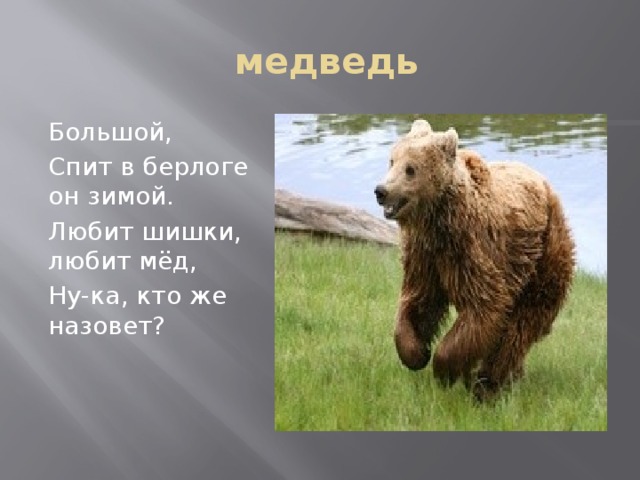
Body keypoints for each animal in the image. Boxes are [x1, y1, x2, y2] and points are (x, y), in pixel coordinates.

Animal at [374, 119, 575, 401]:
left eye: (410, 169)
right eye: (391, 161)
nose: (381, 191)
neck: (438, 222)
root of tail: (547, 186)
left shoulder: (473, 251)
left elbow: (485, 306)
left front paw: (444, 369)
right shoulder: (424, 257)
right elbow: (419, 301)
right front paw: (417, 353)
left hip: (545, 253)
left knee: (523, 323)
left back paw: (489, 381)